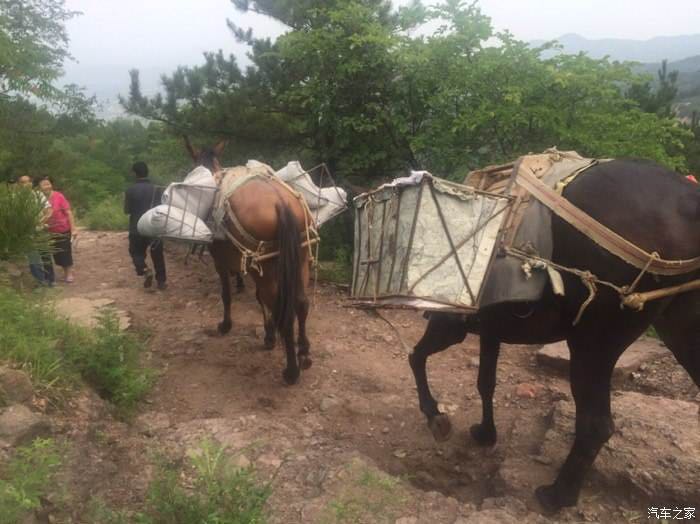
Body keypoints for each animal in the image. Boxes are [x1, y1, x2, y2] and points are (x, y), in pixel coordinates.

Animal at [189, 139, 314, 384]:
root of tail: (281, 203)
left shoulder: (222, 262)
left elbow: (227, 295)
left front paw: (226, 325)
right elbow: (258, 298)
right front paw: (268, 335)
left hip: (269, 268)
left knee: (283, 311)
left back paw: (291, 371)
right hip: (299, 260)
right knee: (301, 303)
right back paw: (303, 353)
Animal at [410, 160, 700, 512]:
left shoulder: (450, 324)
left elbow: (416, 357)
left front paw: (434, 415)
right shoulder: (491, 328)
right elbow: (485, 382)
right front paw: (486, 433)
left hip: (593, 342)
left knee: (595, 425)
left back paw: (558, 495)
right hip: (682, 332)